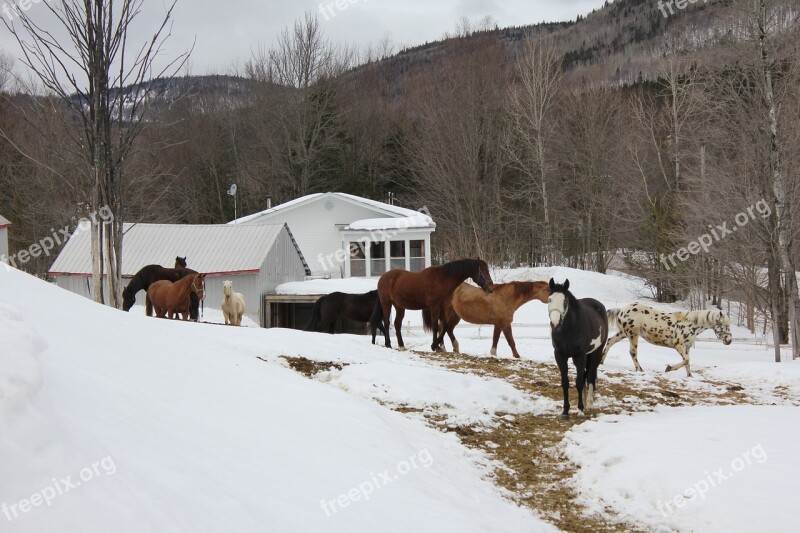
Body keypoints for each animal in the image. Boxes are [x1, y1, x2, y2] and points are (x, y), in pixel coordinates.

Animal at [424, 278, 552, 358]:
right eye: (548, 289)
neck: (507, 297)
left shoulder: (498, 324)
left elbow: (495, 339)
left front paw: (493, 354)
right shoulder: (505, 324)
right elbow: (511, 341)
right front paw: (517, 356)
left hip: (454, 316)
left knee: (445, 329)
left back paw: (448, 348)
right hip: (450, 315)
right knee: (446, 329)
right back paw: (447, 347)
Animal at [548, 278, 608, 420]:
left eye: (564, 301)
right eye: (549, 299)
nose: (555, 323)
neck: (569, 329)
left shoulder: (580, 356)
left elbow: (579, 382)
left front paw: (580, 411)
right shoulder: (560, 355)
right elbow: (565, 382)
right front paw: (565, 411)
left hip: (596, 353)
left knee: (590, 375)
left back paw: (589, 403)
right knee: (586, 375)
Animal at [600, 302, 732, 376]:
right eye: (723, 325)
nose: (729, 340)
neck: (689, 325)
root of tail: (621, 310)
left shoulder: (687, 347)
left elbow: (687, 362)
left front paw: (690, 376)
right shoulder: (679, 346)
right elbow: (686, 360)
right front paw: (668, 368)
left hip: (623, 333)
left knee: (609, 341)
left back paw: (601, 362)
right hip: (633, 334)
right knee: (633, 352)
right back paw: (639, 369)